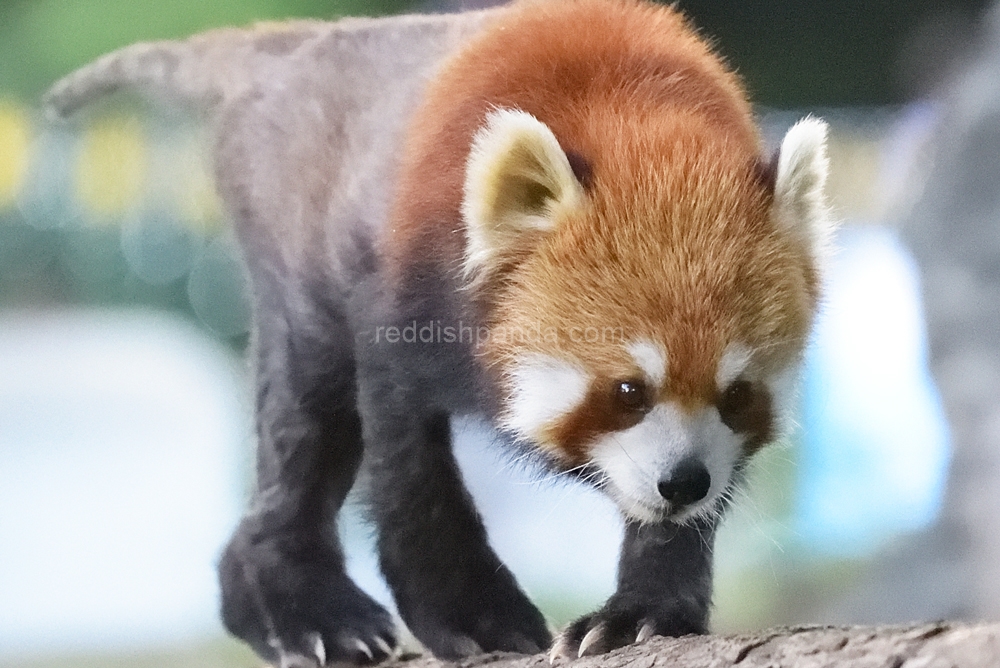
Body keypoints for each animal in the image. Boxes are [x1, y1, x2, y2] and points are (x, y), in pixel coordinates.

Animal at [45, 0, 828, 664]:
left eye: (738, 394)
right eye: (628, 390)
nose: (683, 481)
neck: (638, 117)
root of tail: (298, 49)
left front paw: (645, 611)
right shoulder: (408, 279)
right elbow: (405, 456)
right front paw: (475, 615)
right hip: (295, 236)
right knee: (309, 413)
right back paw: (309, 611)